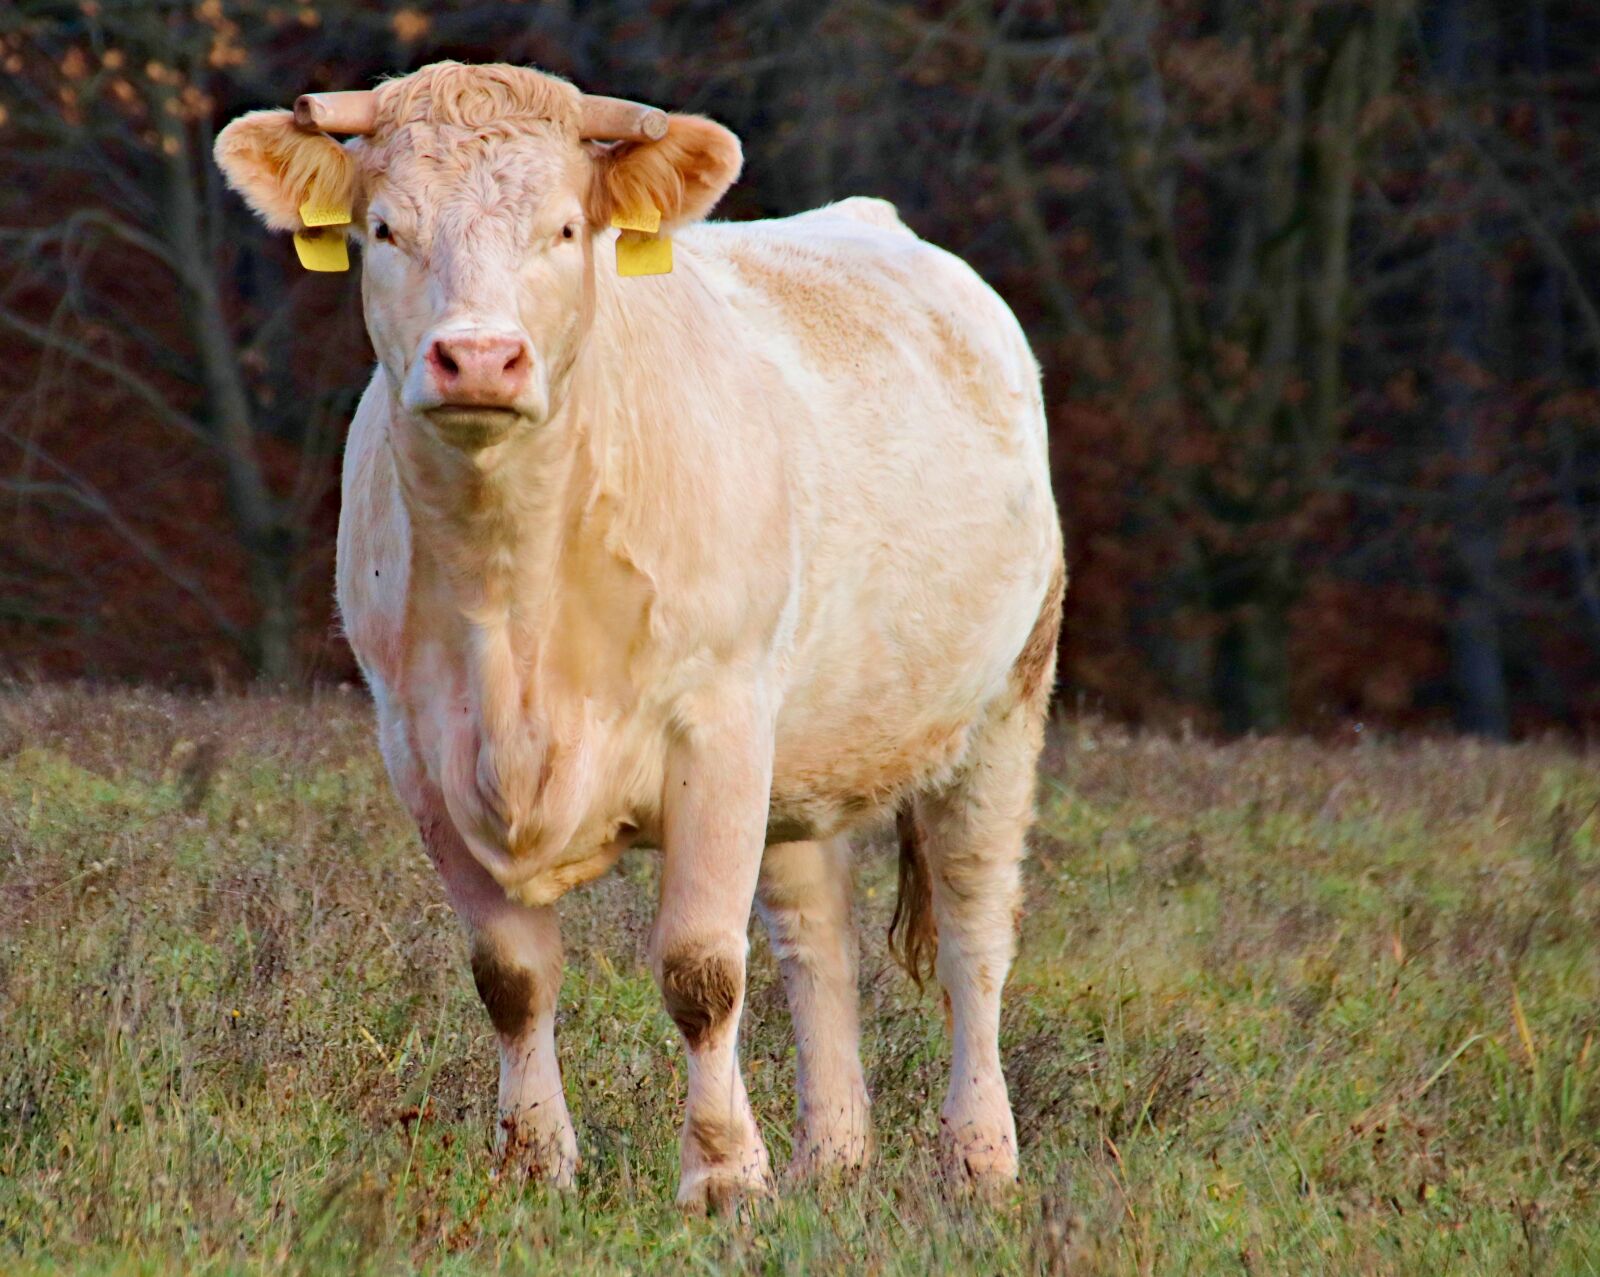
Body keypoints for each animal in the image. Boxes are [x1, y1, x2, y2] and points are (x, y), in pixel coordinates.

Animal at [214, 61, 1063, 1211]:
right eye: (384, 228)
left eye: (568, 228)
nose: (478, 356)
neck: (512, 598)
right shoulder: (419, 748)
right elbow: (512, 976)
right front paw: (534, 1161)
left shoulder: (719, 727)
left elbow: (701, 969)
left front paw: (723, 1175)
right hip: (804, 751)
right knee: (818, 942)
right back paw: (832, 1155)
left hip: (1004, 701)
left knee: (976, 933)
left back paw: (978, 1158)